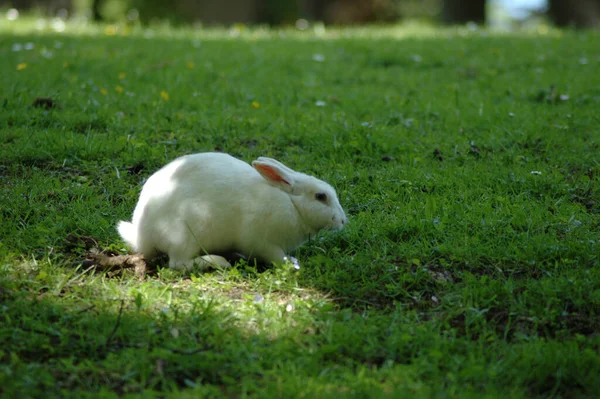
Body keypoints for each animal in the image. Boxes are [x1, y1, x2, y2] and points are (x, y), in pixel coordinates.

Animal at [116, 152, 346, 270]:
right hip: (186, 236)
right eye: (321, 197)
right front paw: (291, 265)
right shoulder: (263, 243)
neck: (292, 204)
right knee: (179, 263)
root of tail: (142, 236)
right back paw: (219, 262)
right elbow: (276, 257)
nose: (343, 221)